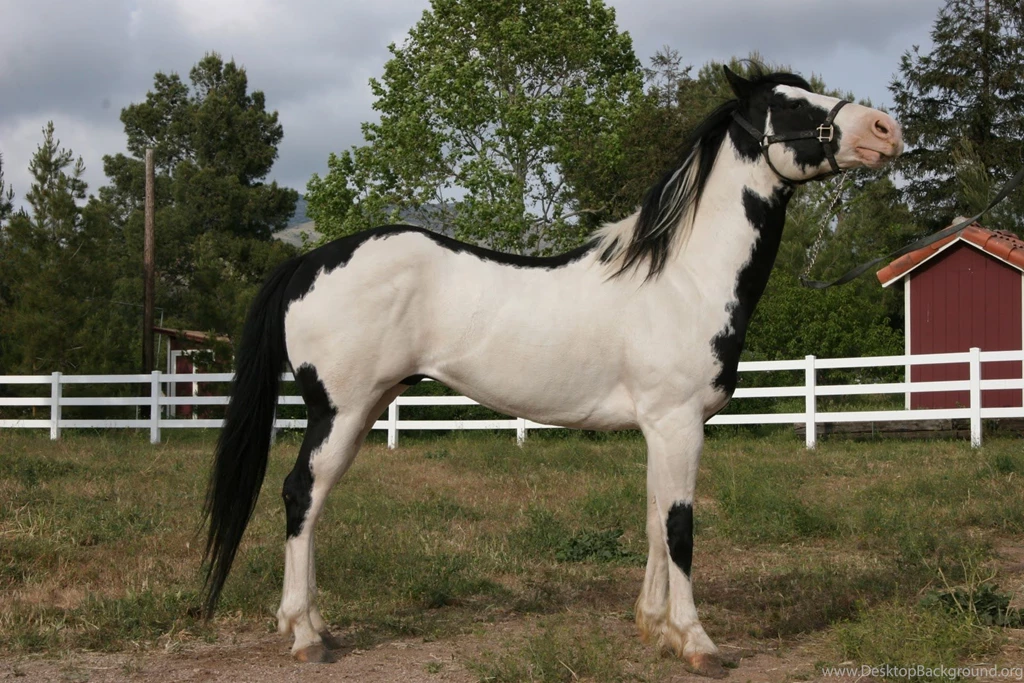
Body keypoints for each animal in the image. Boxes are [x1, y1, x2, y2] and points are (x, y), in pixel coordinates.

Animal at [202, 66, 902, 677]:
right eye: (790, 105)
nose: (885, 129)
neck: (682, 280)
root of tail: (311, 258)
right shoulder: (677, 422)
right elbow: (680, 526)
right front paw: (698, 643)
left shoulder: (662, 428)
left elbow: (654, 518)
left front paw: (656, 628)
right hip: (340, 410)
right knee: (301, 494)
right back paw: (305, 636)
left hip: (365, 409)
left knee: (313, 500)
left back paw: (315, 627)